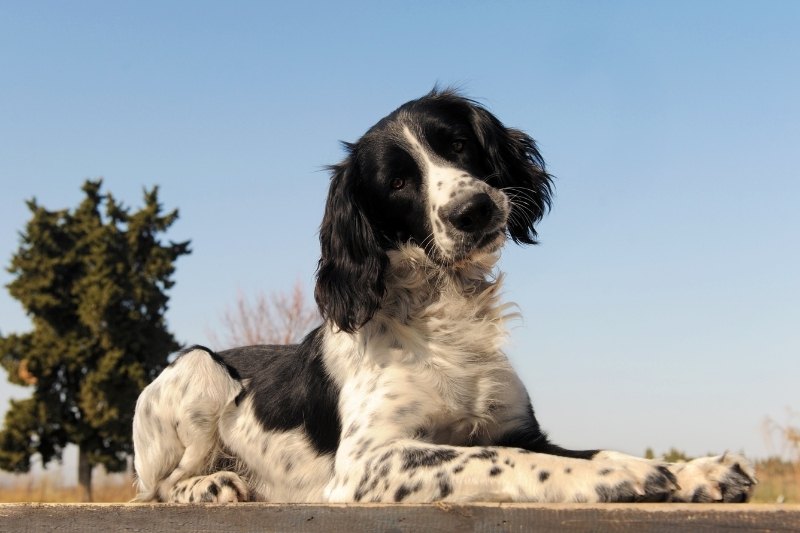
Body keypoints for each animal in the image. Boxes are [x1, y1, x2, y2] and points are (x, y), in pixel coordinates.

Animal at [133, 88, 756, 502]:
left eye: (456, 143)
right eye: (397, 182)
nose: (473, 209)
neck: (442, 316)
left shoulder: (520, 426)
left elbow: (558, 447)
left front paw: (694, 470)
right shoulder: (367, 462)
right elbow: (497, 457)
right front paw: (619, 475)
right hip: (200, 369)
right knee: (159, 487)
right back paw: (212, 484)